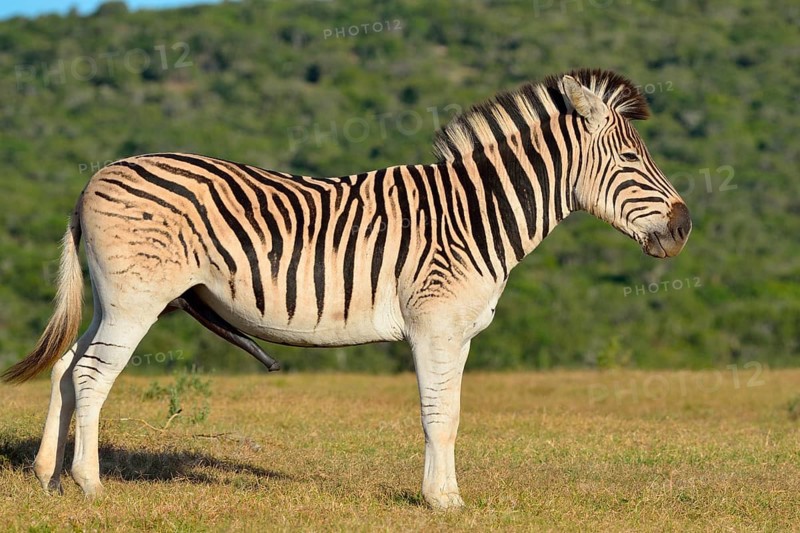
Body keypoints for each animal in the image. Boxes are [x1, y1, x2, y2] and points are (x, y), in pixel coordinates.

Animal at [3, 69, 690, 509]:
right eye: (632, 161)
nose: (684, 227)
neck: (475, 215)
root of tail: (96, 177)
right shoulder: (433, 324)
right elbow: (438, 415)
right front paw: (442, 501)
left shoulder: (460, 332)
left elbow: (452, 413)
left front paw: (445, 494)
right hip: (136, 299)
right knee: (92, 376)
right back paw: (90, 487)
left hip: (112, 299)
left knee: (66, 367)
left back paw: (46, 477)